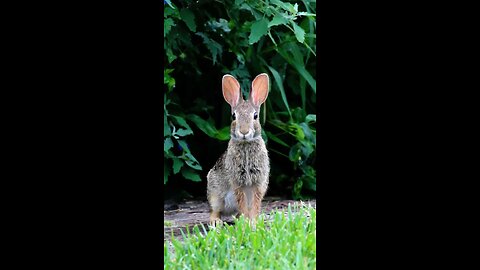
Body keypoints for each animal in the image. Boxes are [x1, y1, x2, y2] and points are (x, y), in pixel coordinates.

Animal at [206, 72, 270, 226]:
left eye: (255, 116)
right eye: (234, 116)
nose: (244, 132)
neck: (246, 144)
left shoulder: (258, 183)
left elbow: (255, 205)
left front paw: (254, 223)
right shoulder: (238, 183)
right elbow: (243, 203)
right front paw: (247, 224)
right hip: (215, 193)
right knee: (215, 210)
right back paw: (216, 222)